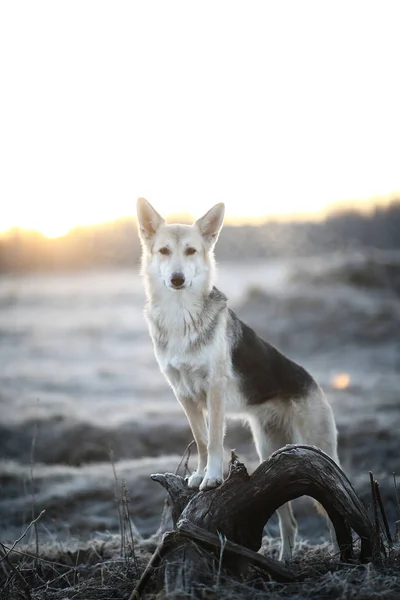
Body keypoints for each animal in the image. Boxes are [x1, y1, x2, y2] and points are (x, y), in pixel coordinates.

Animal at [136, 199, 340, 560]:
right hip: (272, 454)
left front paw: (214, 478)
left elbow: (216, 438)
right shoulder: (184, 394)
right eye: (163, 251)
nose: (177, 279)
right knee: (290, 522)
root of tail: (312, 381)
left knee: (335, 513)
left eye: (191, 251)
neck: (180, 314)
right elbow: (202, 440)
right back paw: (285, 560)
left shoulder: (214, 389)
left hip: (318, 457)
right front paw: (200, 474)